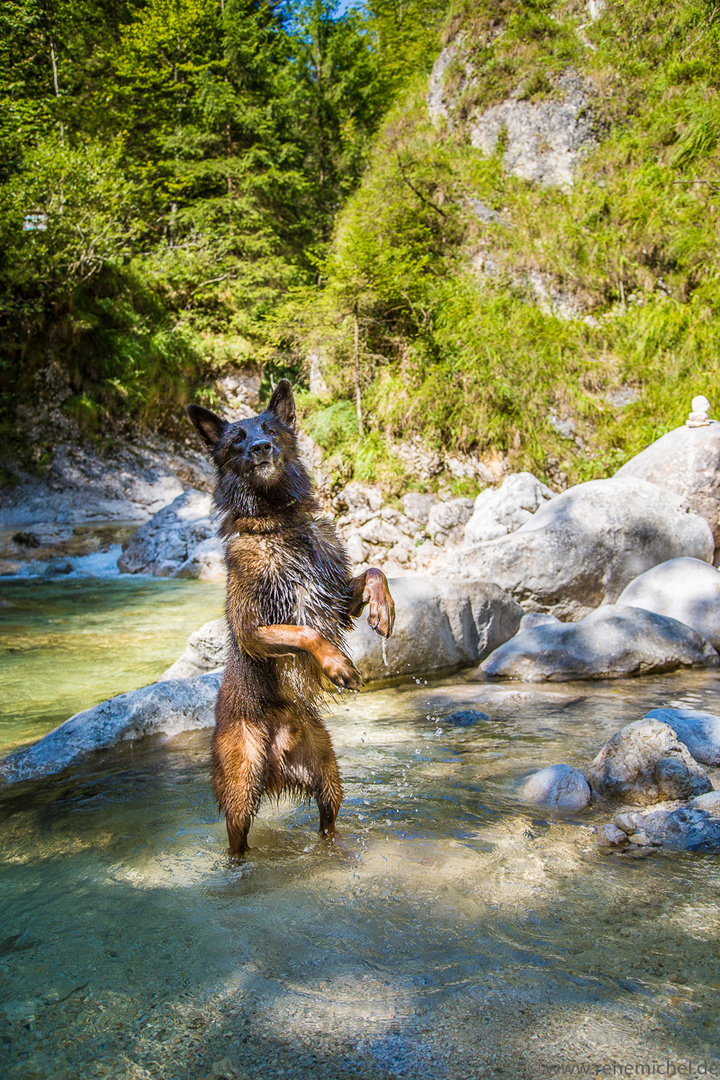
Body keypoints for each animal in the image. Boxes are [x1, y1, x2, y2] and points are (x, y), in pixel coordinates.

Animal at [185, 384, 395, 855]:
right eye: (237, 440)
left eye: (270, 429)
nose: (261, 447)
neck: (277, 523)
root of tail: (276, 756)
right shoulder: (252, 630)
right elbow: (305, 632)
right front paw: (337, 665)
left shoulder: (336, 600)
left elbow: (374, 571)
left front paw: (384, 608)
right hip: (240, 789)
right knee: (238, 844)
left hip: (328, 778)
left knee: (327, 821)